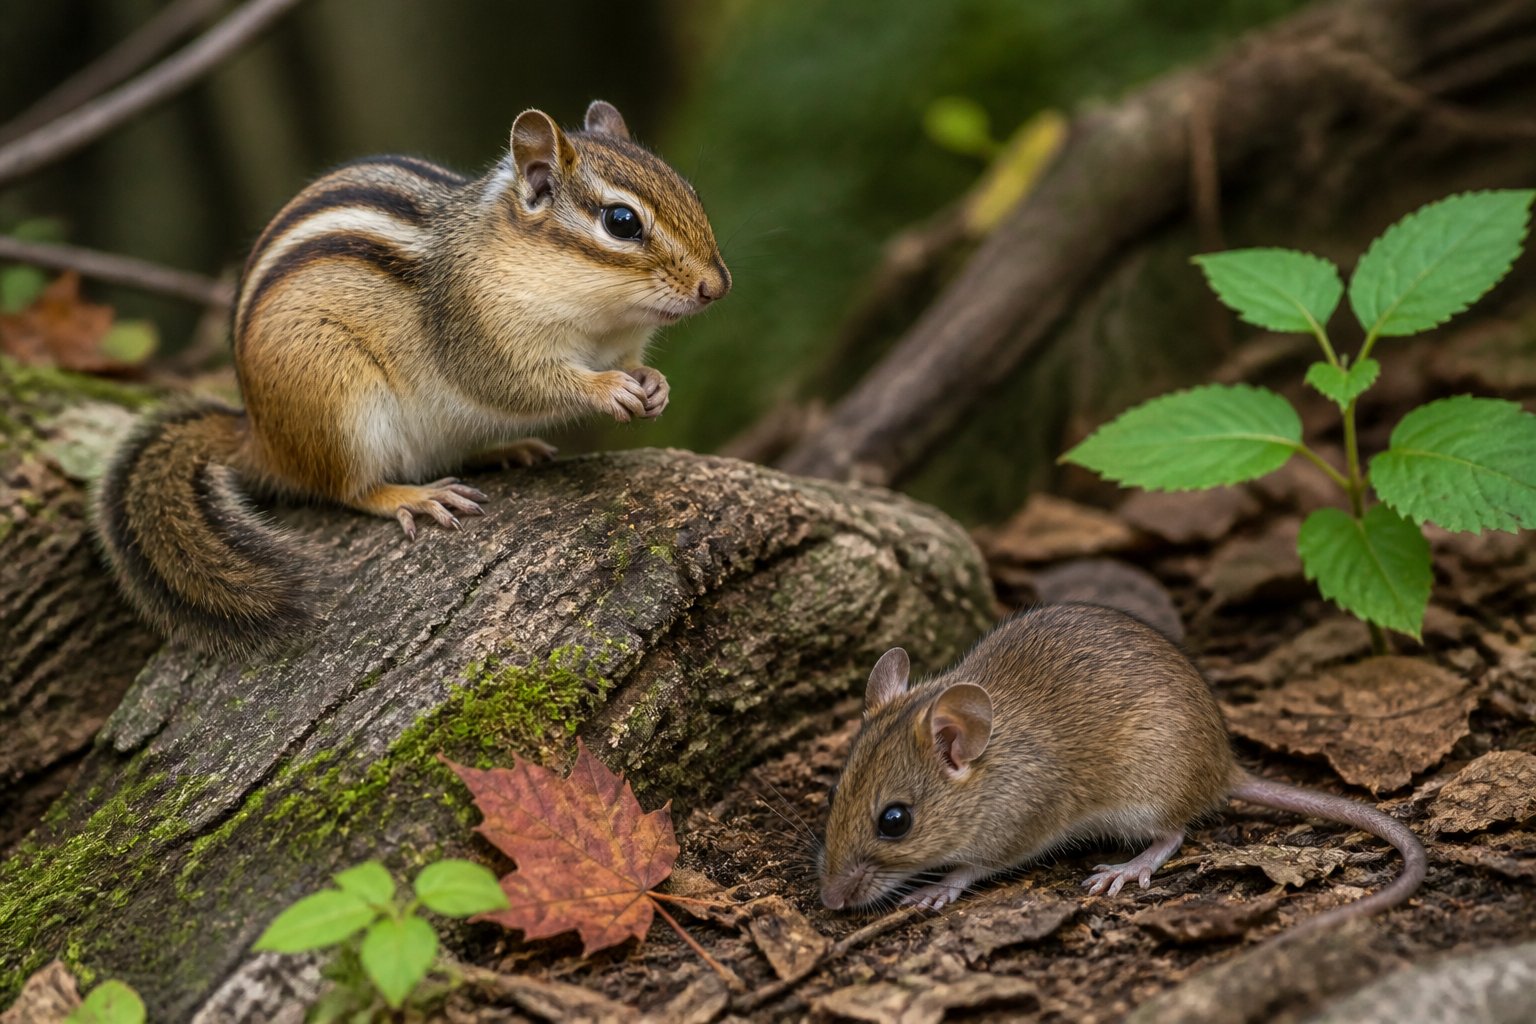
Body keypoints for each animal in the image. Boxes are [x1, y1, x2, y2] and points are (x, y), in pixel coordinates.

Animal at [93, 100, 731, 657]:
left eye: (692, 193)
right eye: (622, 222)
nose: (717, 288)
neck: (599, 322)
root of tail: (261, 438)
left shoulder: (619, 342)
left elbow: (632, 366)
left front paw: (654, 384)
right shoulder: (476, 332)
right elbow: (520, 383)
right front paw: (608, 388)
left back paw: (505, 451)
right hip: (339, 402)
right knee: (347, 489)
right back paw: (415, 496)